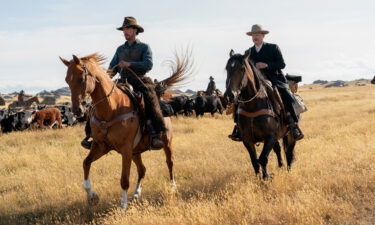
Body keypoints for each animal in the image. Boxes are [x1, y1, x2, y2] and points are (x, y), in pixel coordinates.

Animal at [60, 51, 192, 208]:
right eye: (67, 80)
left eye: (81, 78)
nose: (77, 110)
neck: (112, 108)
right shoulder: (101, 146)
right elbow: (86, 163)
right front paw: (92, 196)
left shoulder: (125, 149)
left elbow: (124, 179)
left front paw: (123, 206)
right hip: (136, 152)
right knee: (142, 169)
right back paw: (136, 194)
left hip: (167, 142)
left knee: (170, 162)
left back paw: (172, 187)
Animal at [226, 49, 296, 179]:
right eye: (227, 68)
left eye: (242, 68)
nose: (230, 95)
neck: (253, 105)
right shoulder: (247, 139)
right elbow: (255, 161)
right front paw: (259, 178)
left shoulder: (270, 136)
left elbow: (263, 158)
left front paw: (266, 177)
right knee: (278, 149)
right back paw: (280, 166)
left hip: (290, 134)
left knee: (289, 151)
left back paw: (289, 170)